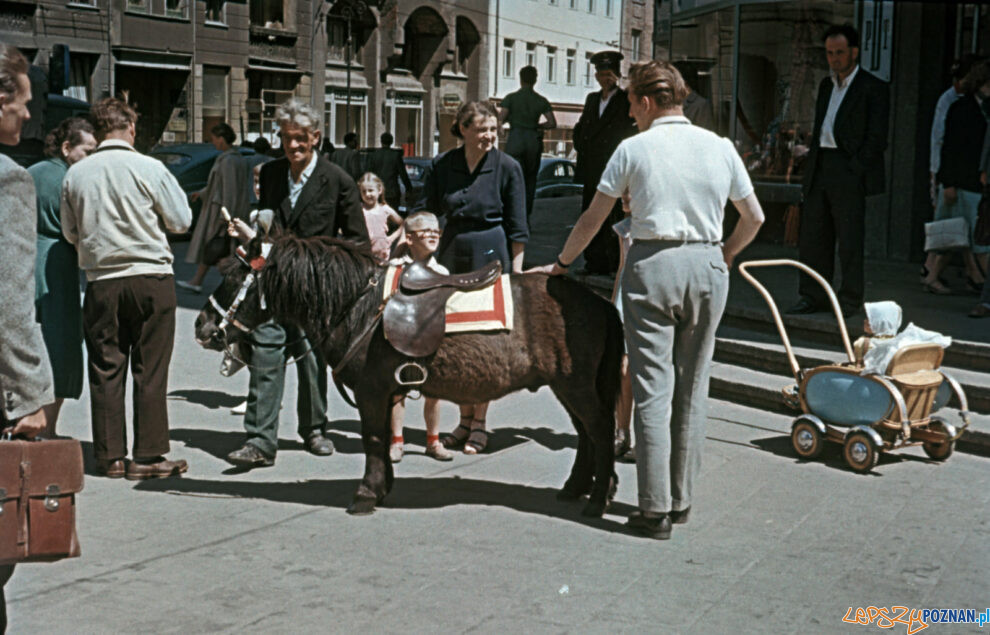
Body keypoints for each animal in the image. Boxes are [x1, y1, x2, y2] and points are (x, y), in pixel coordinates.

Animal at [193, 235, 620, 516]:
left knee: (599, 430)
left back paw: (598, 499)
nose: (202, 326)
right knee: (586, 434)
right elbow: (382, 439)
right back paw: (575, 488)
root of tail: (598, 302)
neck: (359, 306)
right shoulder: (386, 391)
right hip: (567, 386)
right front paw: (383, 487)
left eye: (233, 278)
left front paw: (366, 494)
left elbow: (372, 438)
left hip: (576, 386)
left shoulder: (371, 391)